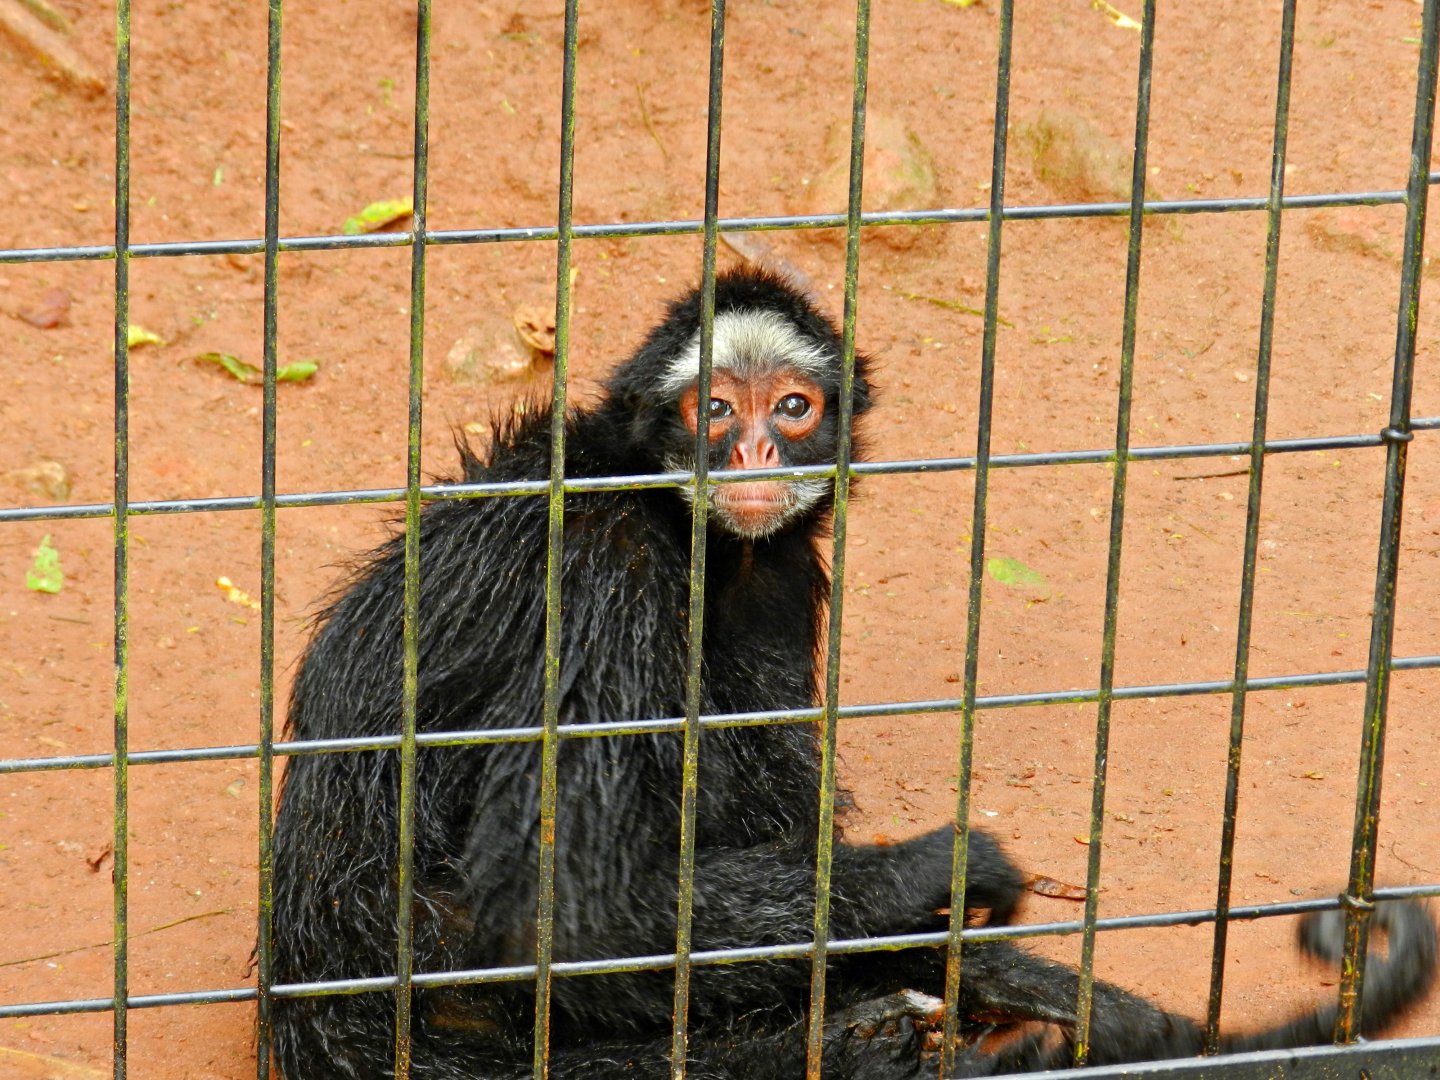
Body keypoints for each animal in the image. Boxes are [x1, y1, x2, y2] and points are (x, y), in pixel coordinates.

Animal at [270, 268, 1437, 1080]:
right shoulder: (602, 564)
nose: (752, 458)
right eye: (712, 412)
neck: (653, 500)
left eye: (791, 408)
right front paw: (942, 878)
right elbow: (557, 915)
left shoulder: (780, 569)